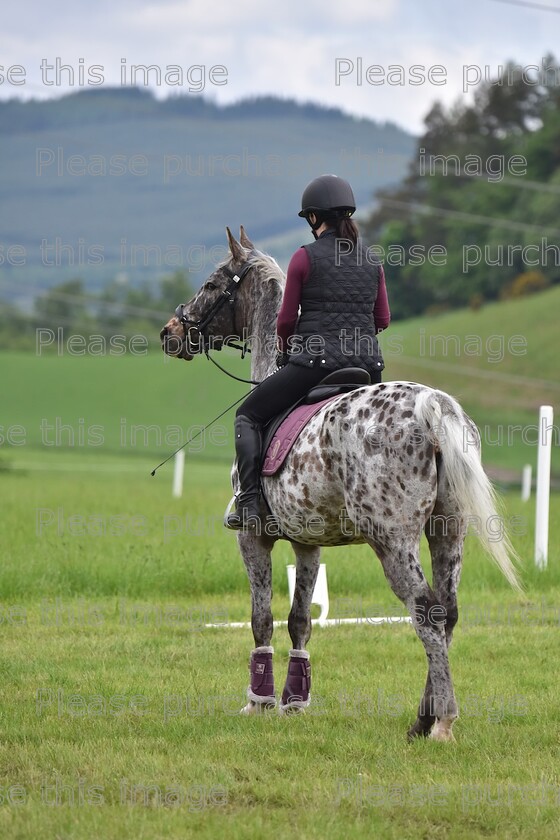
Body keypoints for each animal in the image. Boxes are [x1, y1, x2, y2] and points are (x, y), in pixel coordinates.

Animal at [161, 225, 520, 740]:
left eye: (211, 284)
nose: (171, 333)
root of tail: (431, 407)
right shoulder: (308, 544)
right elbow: (300, 620)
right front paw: (294, 700)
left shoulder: (253, 538)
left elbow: (261, 618)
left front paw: (258, 701)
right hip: (448, 533)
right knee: (448, 613)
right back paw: (422, 718)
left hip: (393, 541)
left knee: (426, 613)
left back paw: (442, 722)